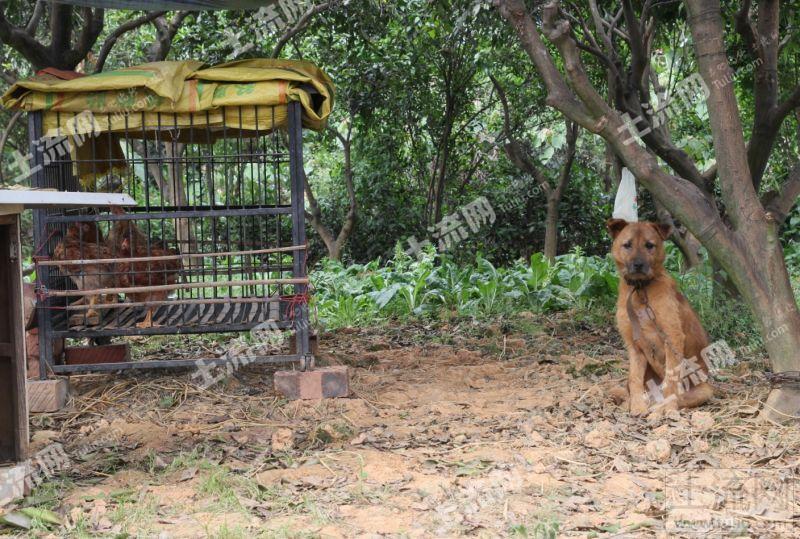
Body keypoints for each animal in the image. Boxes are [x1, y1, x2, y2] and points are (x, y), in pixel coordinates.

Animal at [608, 220, 716, 418]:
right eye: (627, 245)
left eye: (649, 245)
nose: (638, 265)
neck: (641, 290)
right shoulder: (634, 346)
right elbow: (634, 379)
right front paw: (636, 407)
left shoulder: (672, 337)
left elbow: (671, 380)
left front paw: (669, 410)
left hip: (704, 390)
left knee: (678, 396)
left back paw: (659, 409)